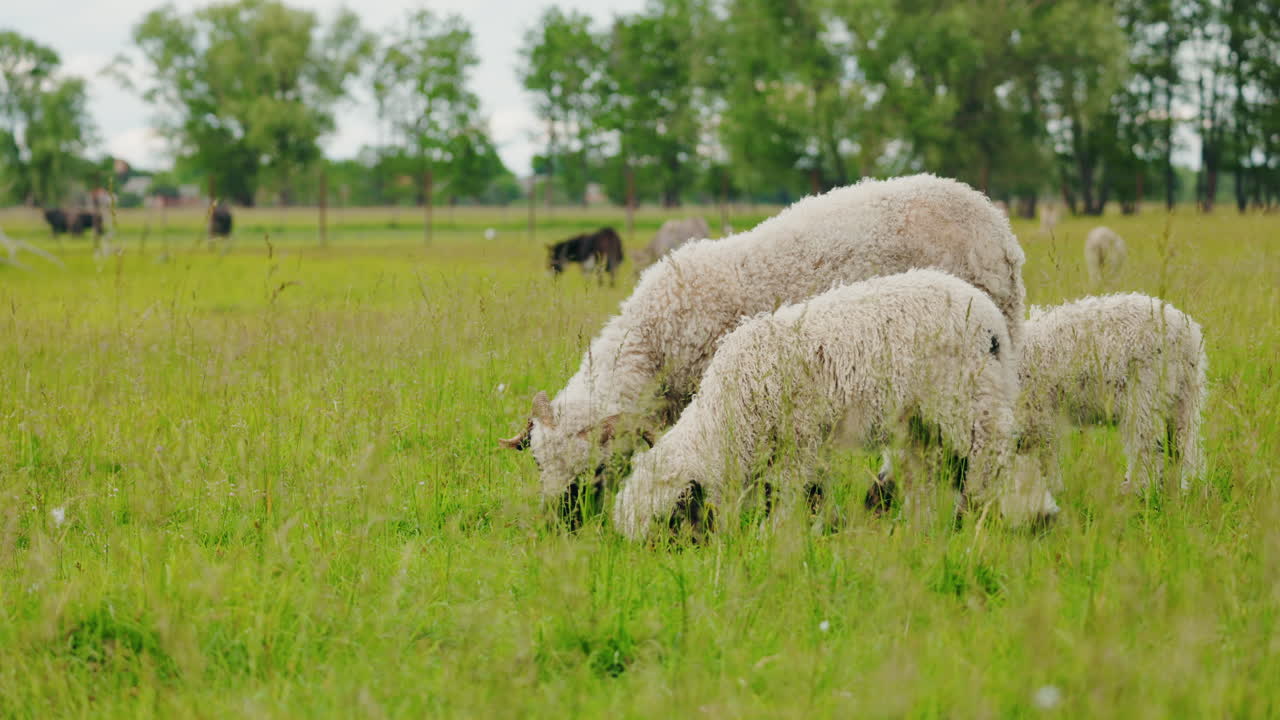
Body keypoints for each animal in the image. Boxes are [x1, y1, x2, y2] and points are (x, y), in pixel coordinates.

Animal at [611, 270, 1037, 540]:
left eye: (668, 523)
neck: (729, 415)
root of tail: (992, 321)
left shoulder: (798, 435)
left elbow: (787, 489)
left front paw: (773, 532)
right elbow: (810, 487)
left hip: (966, 397)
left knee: (988, 454)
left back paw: (977, 511)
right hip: (923, 417)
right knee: (928, 469)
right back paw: (923, 524)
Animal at [1018, 294, 1207, 494]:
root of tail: (1186, 335)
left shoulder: (1036, 414)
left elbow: (1044, 457)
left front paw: (1051, 491)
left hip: (1146, 393)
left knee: (1147, 447)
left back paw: (1135, 491)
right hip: (1183, 397)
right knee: (1177, 448)